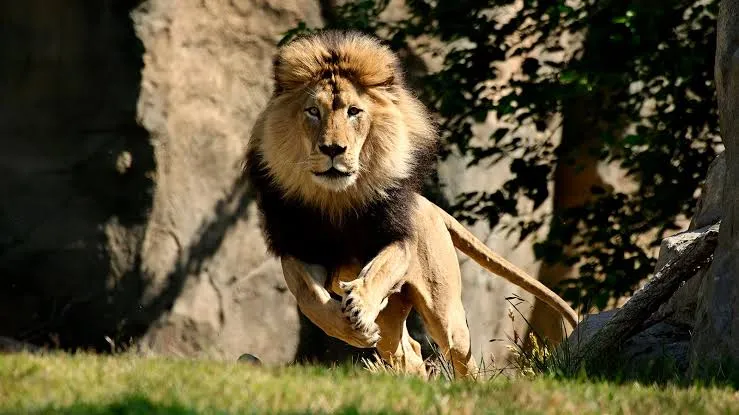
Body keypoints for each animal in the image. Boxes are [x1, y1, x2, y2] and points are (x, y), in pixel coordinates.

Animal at [245, 30, 578, 379]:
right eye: (313, 111)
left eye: (353, 111)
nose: (333, 149)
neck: (337, 197)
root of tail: (430, 206)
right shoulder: (297, 248)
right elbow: (311, 298)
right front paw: (353, 328)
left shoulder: (397, 239)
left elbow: (378, 271)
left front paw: (360, 306)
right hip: (393, 318)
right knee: (411, 352)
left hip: (444, 311)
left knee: (461, 352)